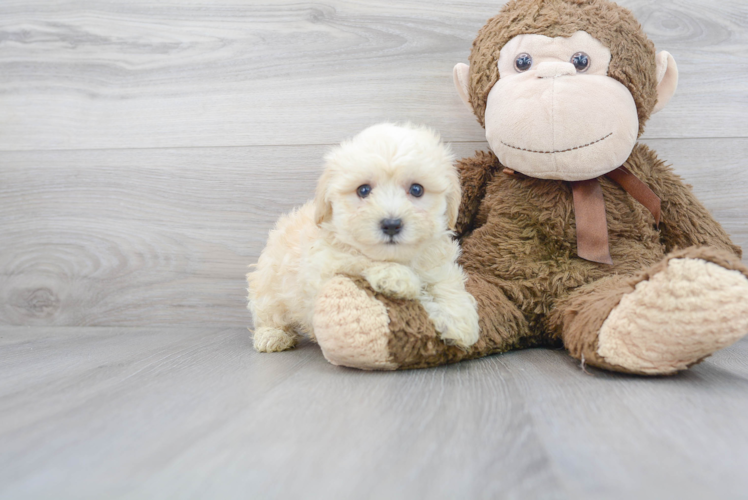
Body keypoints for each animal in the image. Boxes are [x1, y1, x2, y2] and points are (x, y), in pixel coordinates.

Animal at [245, 123, 480, 354]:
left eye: (416, 189)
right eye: (363, 190)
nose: (391, 224)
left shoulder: (437, 262)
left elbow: (446, 283)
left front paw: (460, 320)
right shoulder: (324, 264)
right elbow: (359, 259)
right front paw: (399, 278)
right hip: (269, 285)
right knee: (268, 313)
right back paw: (273, 335)